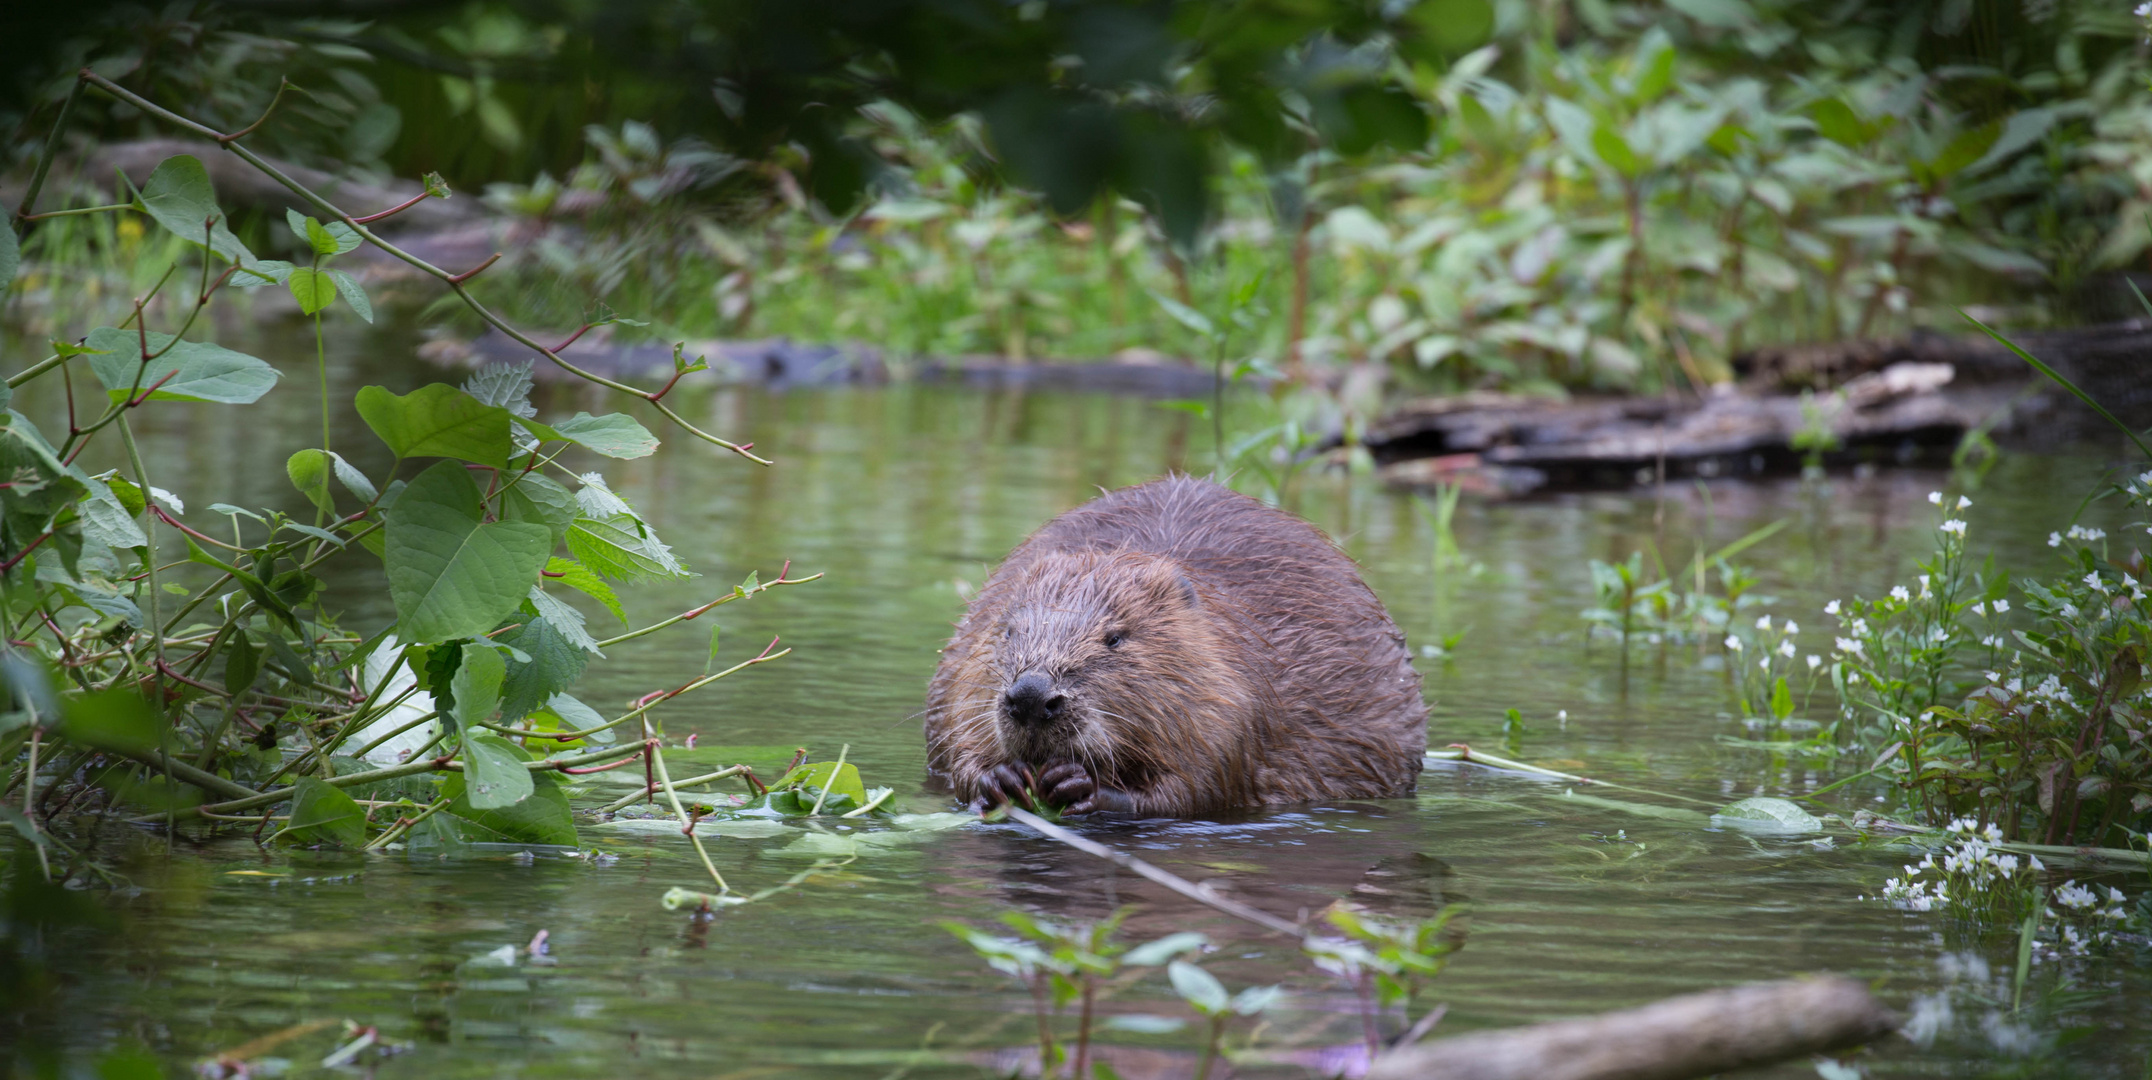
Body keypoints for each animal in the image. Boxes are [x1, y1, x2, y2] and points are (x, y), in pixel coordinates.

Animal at [916, 477, 1420, 813]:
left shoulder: (1231, 700)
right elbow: (960, 740)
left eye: (1115, 637)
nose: (1031, 696)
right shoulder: (963, 679)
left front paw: (1079, 784)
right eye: (1009, 631)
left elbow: (1195, 787)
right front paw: (1000, 779)